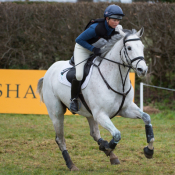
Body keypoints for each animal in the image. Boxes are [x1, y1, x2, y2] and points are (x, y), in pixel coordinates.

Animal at [37, 27, 154, 171]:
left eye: (142, 46)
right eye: (129, 47)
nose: (142, 70)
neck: (116, 79)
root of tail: (48, 71)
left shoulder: (126, 109)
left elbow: (146, 118)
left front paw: (149, 150)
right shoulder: (101, 114)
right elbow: (116, 134)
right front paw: (106, 146)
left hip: (89, 113)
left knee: (94, 133)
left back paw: (111, 155)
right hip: (57, 113)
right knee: (61, 139)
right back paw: (71, 164)